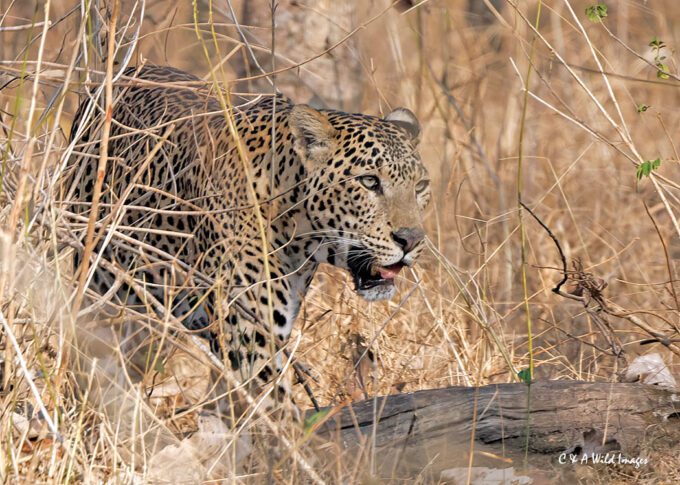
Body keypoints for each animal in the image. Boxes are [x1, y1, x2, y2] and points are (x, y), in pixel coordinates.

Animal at [63, 65, 431, 418]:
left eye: (421, 186)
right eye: (368, 181)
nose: (411, 239)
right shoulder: (251, 340)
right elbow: (280, 417)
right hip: (103, 295)